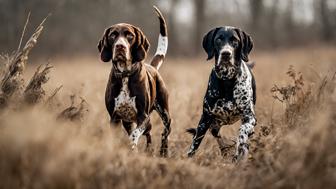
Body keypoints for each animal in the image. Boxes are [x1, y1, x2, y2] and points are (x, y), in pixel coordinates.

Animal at [97, 6, 171, 157]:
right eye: (113, 35)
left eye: (129, 35)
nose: (120, 46)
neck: (125, 74)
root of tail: (153, 68)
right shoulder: (114, 118)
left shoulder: (143, 117)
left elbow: (134, 135)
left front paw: (131, 147)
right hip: (129, 121)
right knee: (148, 135)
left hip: (164, 113)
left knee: (165, 133)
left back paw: (163, 152)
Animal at [188, 26, 256, 162]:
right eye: (218, 39)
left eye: (235, 40)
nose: (226, 53)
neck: (227, 79)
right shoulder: (205, 119)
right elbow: (195, 142)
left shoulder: (250, 117)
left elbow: (242, 132)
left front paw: (239, 147)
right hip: (214, 124)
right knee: (217, 136)